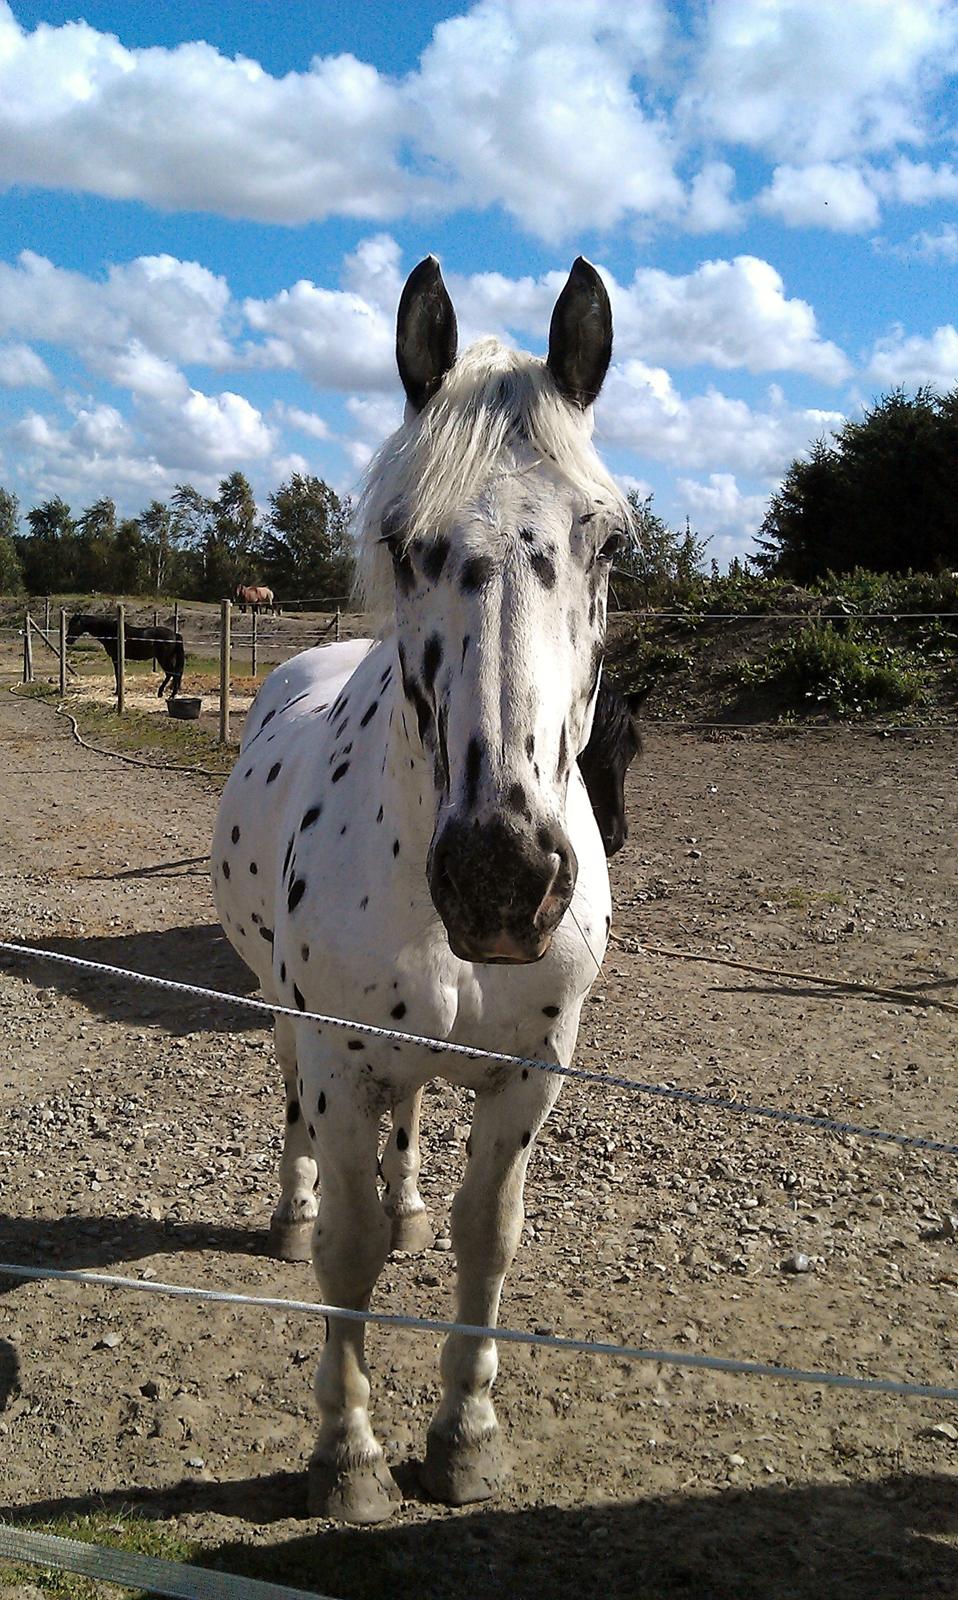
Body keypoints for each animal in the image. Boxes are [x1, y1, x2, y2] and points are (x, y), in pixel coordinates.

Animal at [215, 252, 633, 1523]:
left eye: (608, 543)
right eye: (403, 541)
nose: (503, 876)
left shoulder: (529, 1071)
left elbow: (486, 1239)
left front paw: (466, 1436)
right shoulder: (339, 1055)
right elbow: (347, 1254)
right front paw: (345, 1455)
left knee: (410, 1132)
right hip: (288, 1021)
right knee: (298, 1125)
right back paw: (289, 1213)